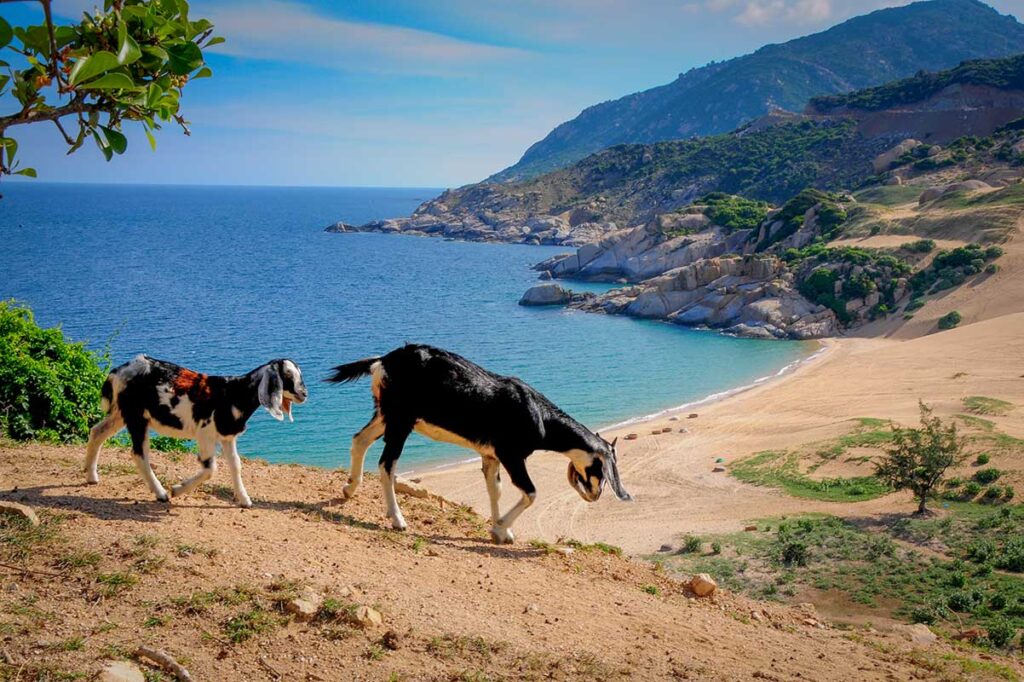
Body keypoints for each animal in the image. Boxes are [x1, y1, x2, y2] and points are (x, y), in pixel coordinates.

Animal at [84, 355, 307, 507]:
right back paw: (161, 493)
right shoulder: (205, 433)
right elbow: (210, 469)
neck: (234, 393)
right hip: (136, 417)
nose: (304, 394)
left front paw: (244, 500)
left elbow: (235, 465)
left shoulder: (227, 436)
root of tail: (118, 372)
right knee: (139, 453)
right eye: (287, 375)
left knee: (97, 432)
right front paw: (177, 490)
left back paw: (91, 476)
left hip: (121, 413)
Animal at [327, 344, 631, 543]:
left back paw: (349, 489)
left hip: (385, 413)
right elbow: (530, 492)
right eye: (600, 468)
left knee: (359, 439)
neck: (540, 416)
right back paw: (398, 519)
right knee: (387, 464)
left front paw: (501, 531)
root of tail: (384, 361)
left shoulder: (490, 455)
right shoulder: (511, 454)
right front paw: (501, 527)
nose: (595, 496)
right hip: (401, 420)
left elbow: (495, 489)